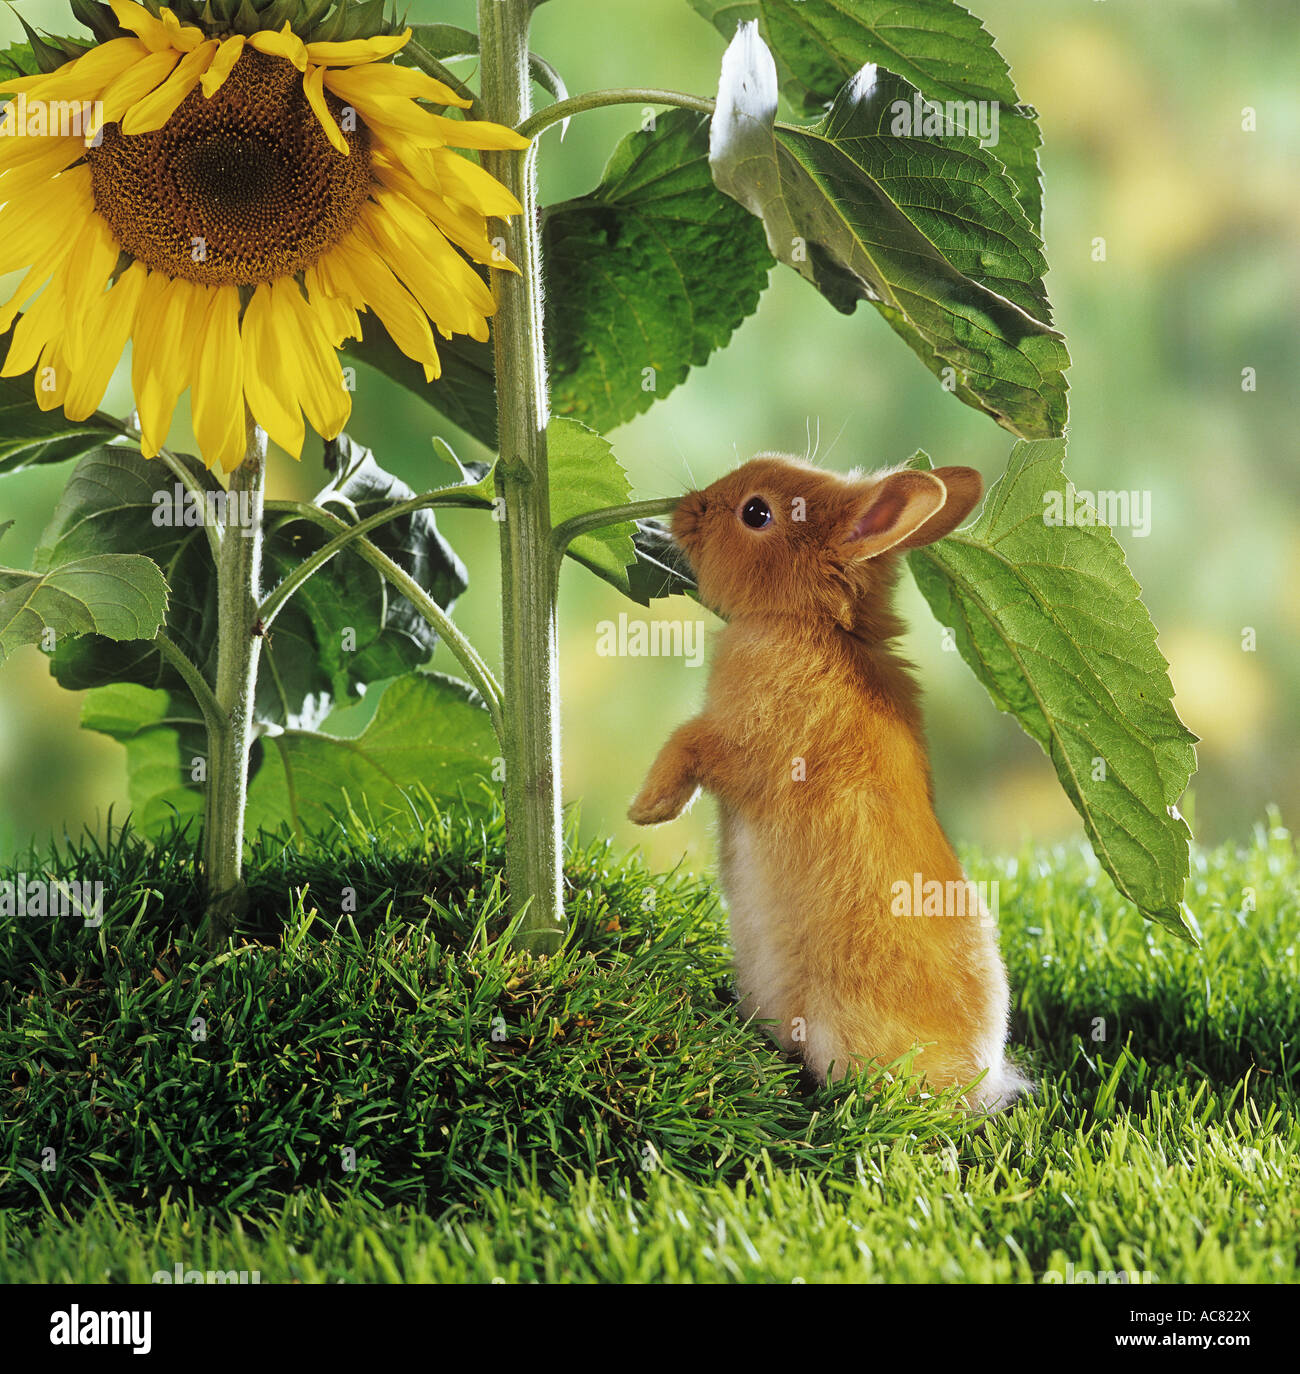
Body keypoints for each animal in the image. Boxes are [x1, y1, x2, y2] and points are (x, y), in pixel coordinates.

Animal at [626, 456, 1022, 1110]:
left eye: (756, 512)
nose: (687, 506)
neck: (815, 624)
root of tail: (975, 1080)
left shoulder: (737, 744)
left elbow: (686, 746)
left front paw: (647, 808)